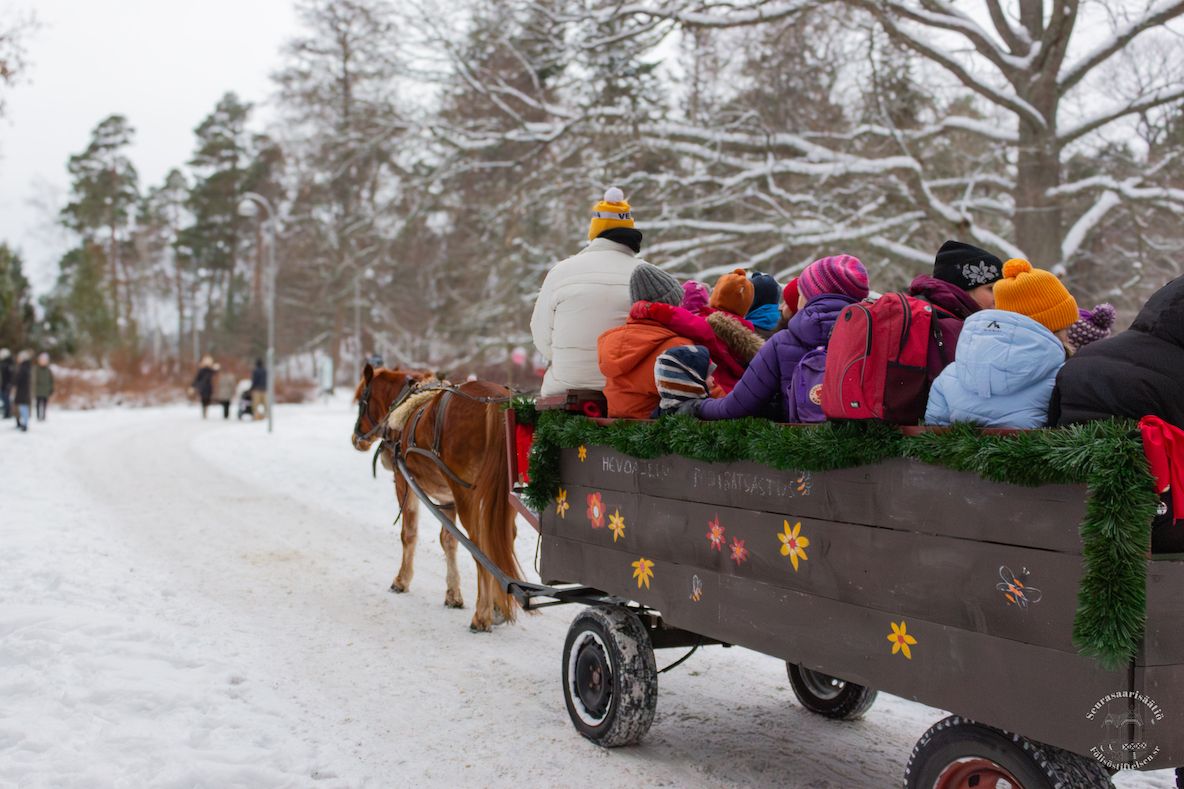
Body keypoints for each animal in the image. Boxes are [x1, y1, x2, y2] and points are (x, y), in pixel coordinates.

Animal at [348, 364, 520, 630]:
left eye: (360, 401)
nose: (356, 439)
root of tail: (496, 401)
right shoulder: (447, 497)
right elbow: (448, 541)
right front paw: (453, 594)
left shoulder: (404, 484)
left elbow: (409, 534)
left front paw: (402, 580)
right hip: (503, 499)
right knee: (502, 541)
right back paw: (498, 607)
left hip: (467, 496)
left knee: (481, 547)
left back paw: (482, 614)